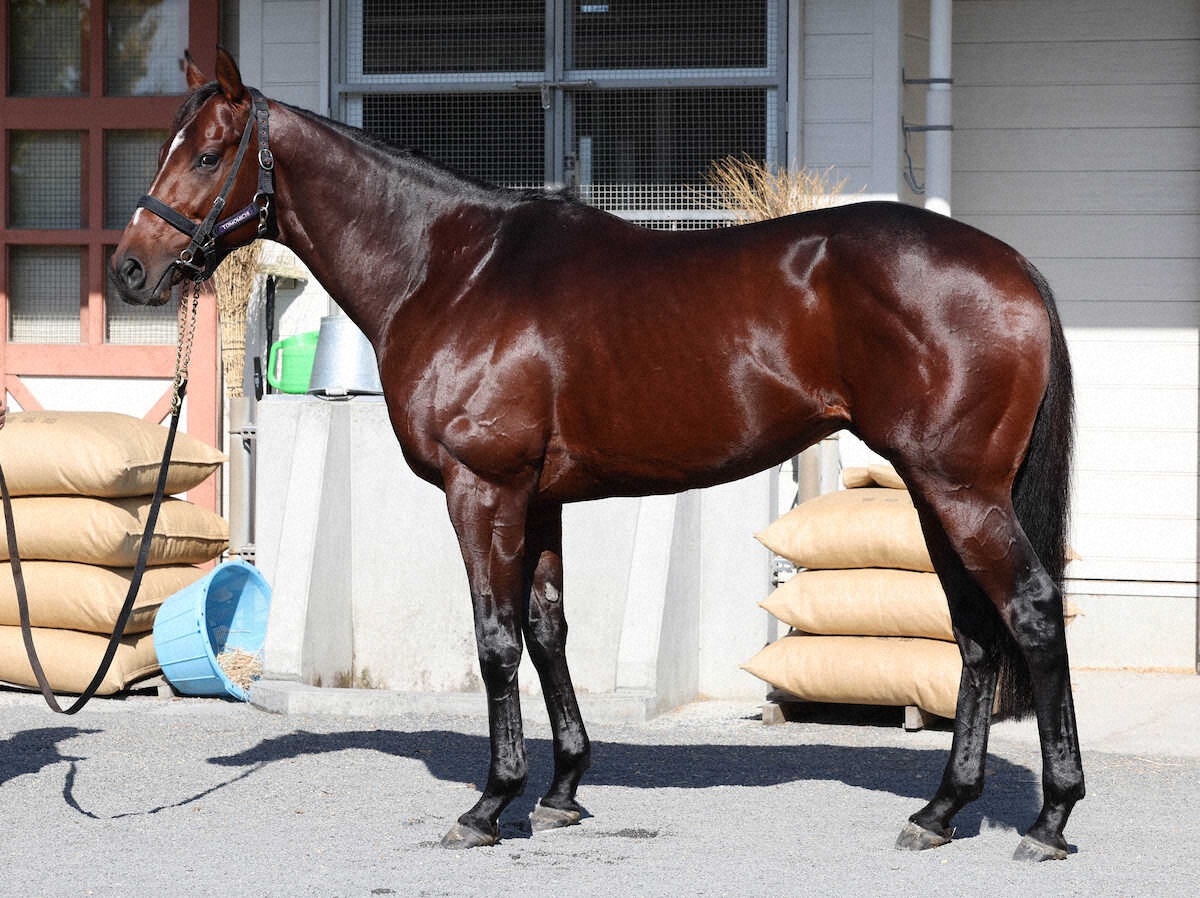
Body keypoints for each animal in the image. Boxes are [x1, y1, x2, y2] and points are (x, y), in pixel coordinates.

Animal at [111, 49, 1080, 862]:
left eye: (209, 156)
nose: (130, 271)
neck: (451, 269)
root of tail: (1014, 269)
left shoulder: (483, 490)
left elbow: (495, 639)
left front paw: (489, 804)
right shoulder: (538, 499)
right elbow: (547, 631)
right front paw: (562, 790)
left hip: (960, 490)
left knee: (1029, 612)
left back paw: (1050, 817)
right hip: (932, 490)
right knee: (974, 632)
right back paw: (941, 811)